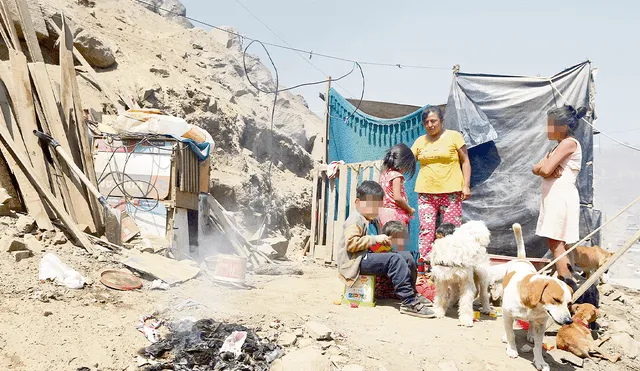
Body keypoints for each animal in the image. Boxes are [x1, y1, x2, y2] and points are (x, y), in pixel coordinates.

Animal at [502, 224, 572, 371]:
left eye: (569, 304)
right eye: (556, 300)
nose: (569, 321)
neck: (533, 305)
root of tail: (522, 259)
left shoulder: (541, 324)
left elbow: (539, 346)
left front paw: (540, 361)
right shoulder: (507, 313)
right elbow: (511, 334)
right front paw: (512, 349)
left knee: (531, 324)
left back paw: (530, 335)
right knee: (508, 326)